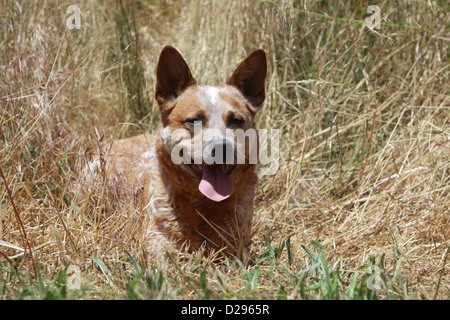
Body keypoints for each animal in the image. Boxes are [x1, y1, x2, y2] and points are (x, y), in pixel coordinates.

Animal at [77, 45, 268, 260]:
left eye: (236, 120)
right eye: (194, 120)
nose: (221, 148)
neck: (206, 207)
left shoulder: (239, 248)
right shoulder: (156, 244)